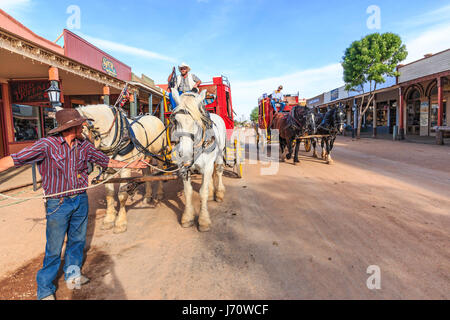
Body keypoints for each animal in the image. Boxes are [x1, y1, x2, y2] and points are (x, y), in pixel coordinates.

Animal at [77, 106, 167, 234]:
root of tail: (155, 117)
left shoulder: (126, 169)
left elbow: (122, 196)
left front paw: (120, 223)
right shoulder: (107, 171)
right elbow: (109, 195)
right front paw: (109, 219)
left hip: (159, 153)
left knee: (160, 171)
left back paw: (159, 193)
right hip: (144, 157)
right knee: (146, 173)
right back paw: (147, 197)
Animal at [170, 90, 225, 232]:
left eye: (196, 121)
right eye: (175, 121)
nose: (185, 154)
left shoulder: (208, 166)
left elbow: (202, 192)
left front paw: (203, 220)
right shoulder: (184, 167)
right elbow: (188, 191)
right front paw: (187, 217)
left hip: (219, 154)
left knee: (219, 171)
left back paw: (219, 193)